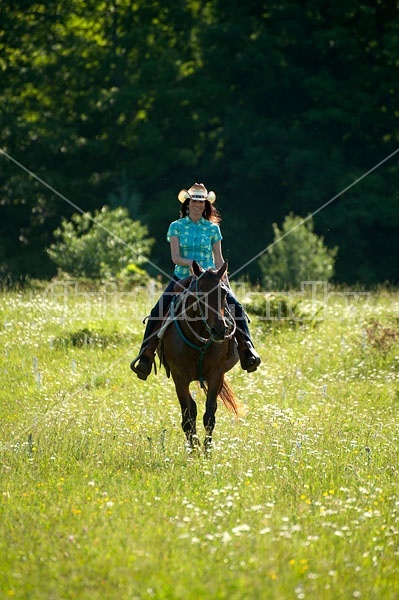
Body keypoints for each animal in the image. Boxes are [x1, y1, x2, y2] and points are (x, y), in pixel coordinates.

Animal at [158, 260, 239, 452]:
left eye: (224, 292)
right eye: (201, 292)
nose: (220, 329)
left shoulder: (216, 376)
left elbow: (209, 416)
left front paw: (207, 452)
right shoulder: (179, 378)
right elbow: (187, 418)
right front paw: (193, 452)